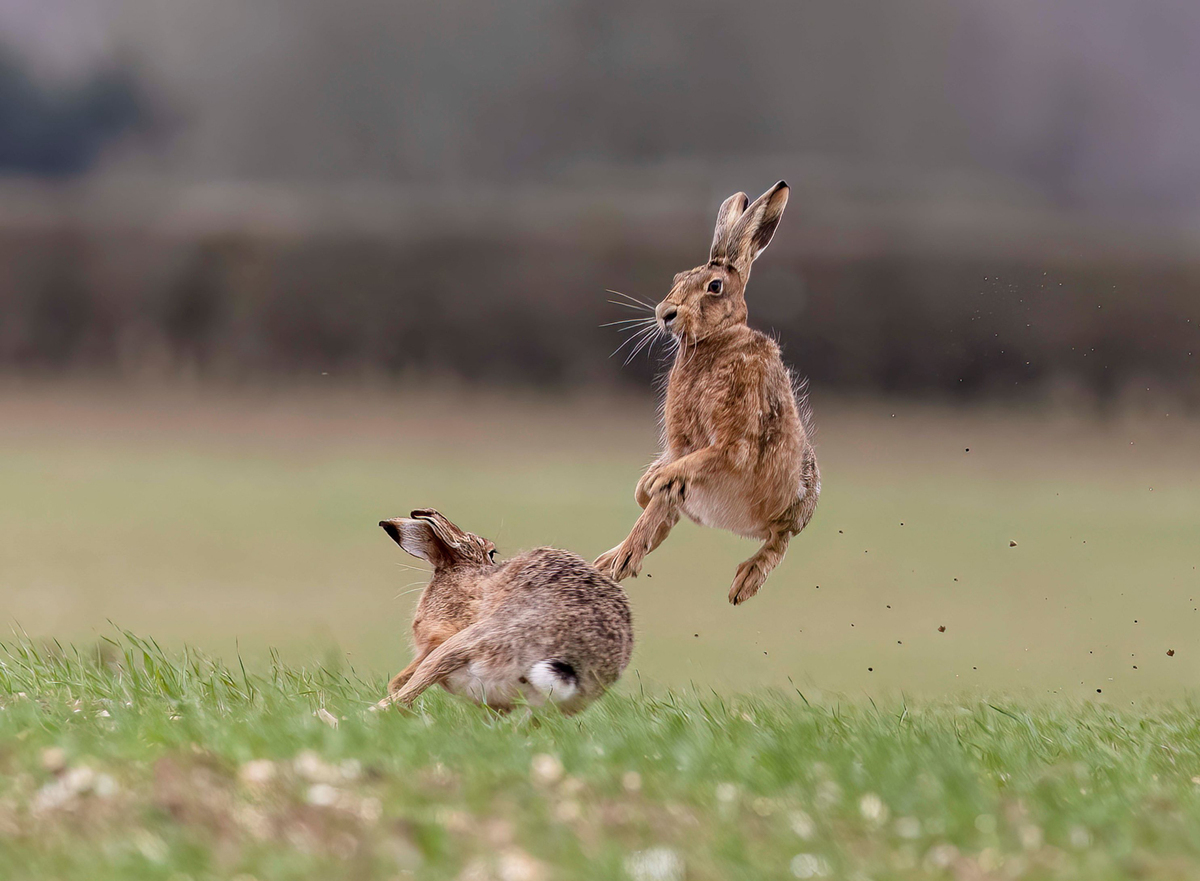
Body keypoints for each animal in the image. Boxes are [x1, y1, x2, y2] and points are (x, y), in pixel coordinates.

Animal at [595, 181, 820, 605]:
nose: (665, 313)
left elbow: (709, 459)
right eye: (678, 277)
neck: (717, 341)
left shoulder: (733, 440)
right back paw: (612, 557)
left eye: (714, 287)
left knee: (779, 538)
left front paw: (655, 483)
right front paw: (645, 494)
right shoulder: (680, 440)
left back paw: (744, 583)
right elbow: (660, 497)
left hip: (791, 502)